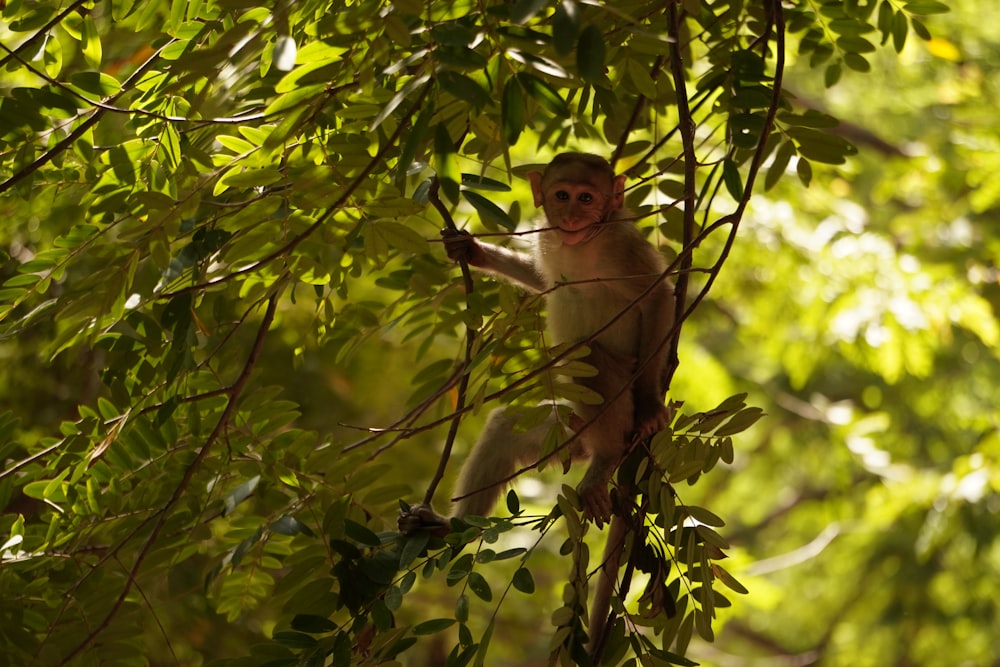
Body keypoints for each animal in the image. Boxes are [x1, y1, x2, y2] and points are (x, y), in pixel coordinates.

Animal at [402, 151, 676, 532]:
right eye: (562, 196)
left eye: (586, 198)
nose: (571, 218)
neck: (585, 242)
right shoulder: (551, 240)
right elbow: (542, 281)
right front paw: (471, 250)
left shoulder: (623, 246)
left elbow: (658, 296)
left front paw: (651, 406)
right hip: (567, 433)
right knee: (504, 428)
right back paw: (450, 526)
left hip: (621, 390)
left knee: (587, 353)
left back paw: (606, 457)